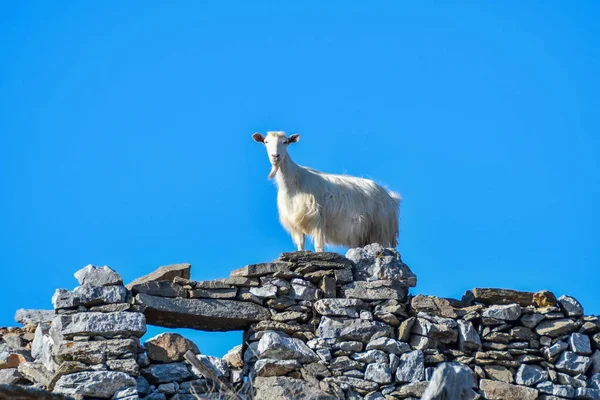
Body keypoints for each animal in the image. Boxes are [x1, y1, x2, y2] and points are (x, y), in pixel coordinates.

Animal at [251, 131, 400, 252]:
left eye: (286, 142)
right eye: (266, 142)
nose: (275, 156)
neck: (295, 181)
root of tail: (390, 197)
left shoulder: (317, 220)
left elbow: (319, 247)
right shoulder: (296, 223)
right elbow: (300, 245)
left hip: (380, 229)